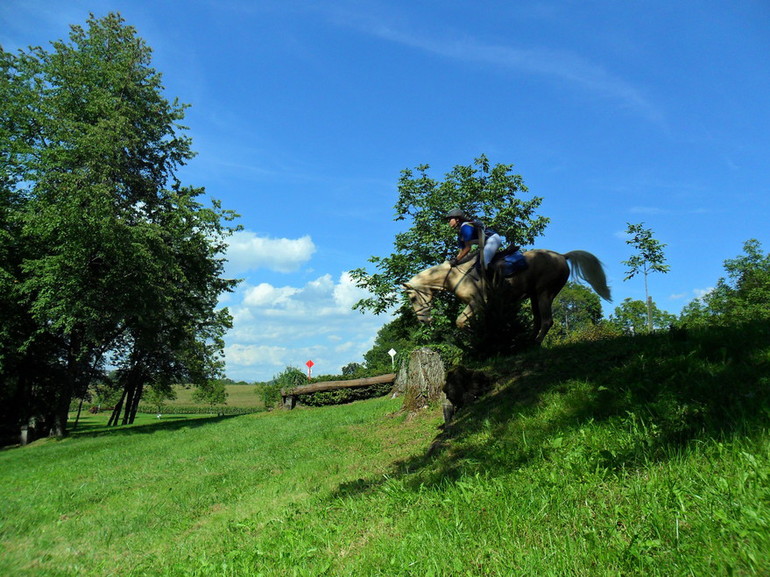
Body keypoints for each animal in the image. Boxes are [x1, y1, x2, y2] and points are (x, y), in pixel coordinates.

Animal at [402, 249, 612, 342]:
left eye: (412, 298)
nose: (423, 320)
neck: (454, 275)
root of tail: (561, 255)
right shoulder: (484, 306)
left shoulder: (477, 302)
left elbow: (460, 322)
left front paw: (475, 336)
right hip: (535, 295)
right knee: (538, 320)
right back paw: (525, 341)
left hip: (545, 292)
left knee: (546, 321)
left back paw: (534, 344)